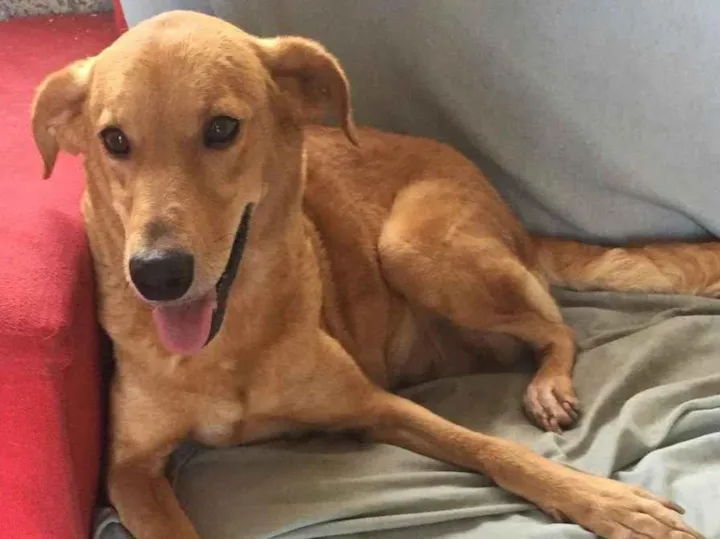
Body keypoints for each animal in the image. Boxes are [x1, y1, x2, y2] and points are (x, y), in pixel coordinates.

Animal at [31, 10, 712, 539]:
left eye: (221, 128)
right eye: (114, 141)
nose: (157, 275)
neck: (229, 346)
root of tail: (510, 212)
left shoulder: (376, 405)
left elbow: (494, 448)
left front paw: (601, 500)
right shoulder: (128, 470)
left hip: (411, 246)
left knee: (557, 323)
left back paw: (549, 383)